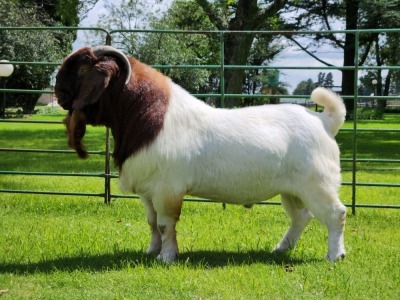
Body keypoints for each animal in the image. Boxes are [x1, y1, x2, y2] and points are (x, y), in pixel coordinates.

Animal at [55, 45, 346, 262]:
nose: (58, 94)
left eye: (83, 68)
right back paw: (281, 248)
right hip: (292, 191)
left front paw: (167, 257)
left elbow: (166, 224)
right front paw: (151, 251)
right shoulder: (148, 191)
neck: (147, 115)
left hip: (317, 186)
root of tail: (325, 121)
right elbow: (152, 222)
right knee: (301, 217)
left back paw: (335, 256)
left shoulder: (167, 190)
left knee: (336, 214)